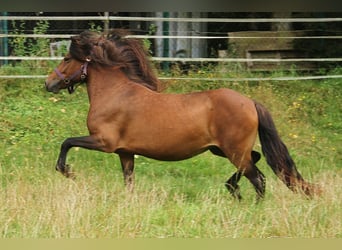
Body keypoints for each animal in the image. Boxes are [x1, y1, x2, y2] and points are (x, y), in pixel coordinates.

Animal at [45, 29, 318, 201]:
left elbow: (66, 142)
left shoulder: (104, 142)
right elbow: (128, 181)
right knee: (257, 162)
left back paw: (248, 203)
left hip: (233, 151)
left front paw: (68, 171)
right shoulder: (125, 153)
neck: (115, 93)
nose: (49, 84)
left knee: (258, 178)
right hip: (222, 149)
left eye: (67, 58)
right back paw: (233, 189)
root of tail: (250, 102)